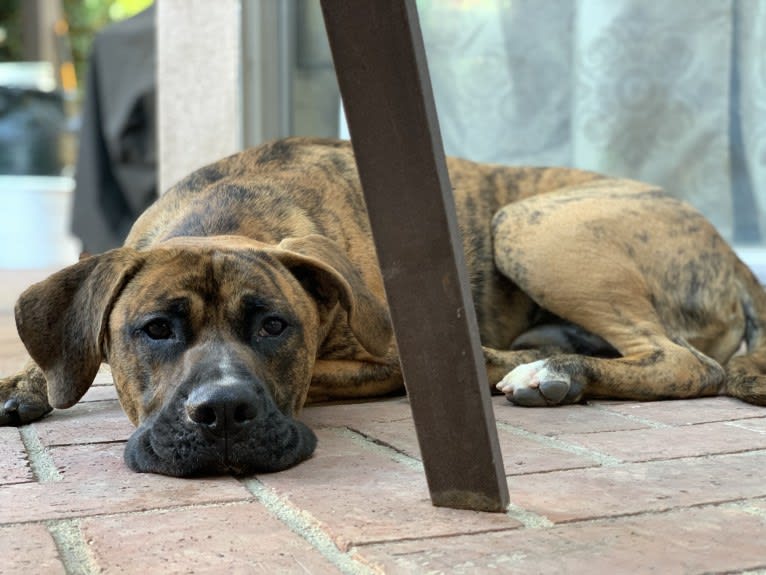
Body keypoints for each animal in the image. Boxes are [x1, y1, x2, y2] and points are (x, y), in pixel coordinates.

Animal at [1, 136, 766, 476]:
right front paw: (27, 381)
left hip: (530, 224)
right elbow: (69, 357)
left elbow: (324, 374)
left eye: (275, 327)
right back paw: (551, 361)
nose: (222, 414)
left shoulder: (381, 355)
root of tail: (730, 252)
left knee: (683, 363)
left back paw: (538, 370)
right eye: (155, 330)